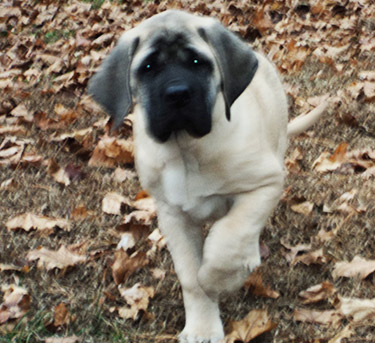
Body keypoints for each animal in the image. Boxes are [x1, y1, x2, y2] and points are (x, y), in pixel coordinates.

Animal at [89, 9, 328, 342]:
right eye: (148, 67)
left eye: (197, 62)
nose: (177, 94)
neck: (186, 150)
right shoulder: (173, 215)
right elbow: (191, 277)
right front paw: (203, 324)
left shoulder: (265, 184)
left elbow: (229, 238)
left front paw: (220, 281)